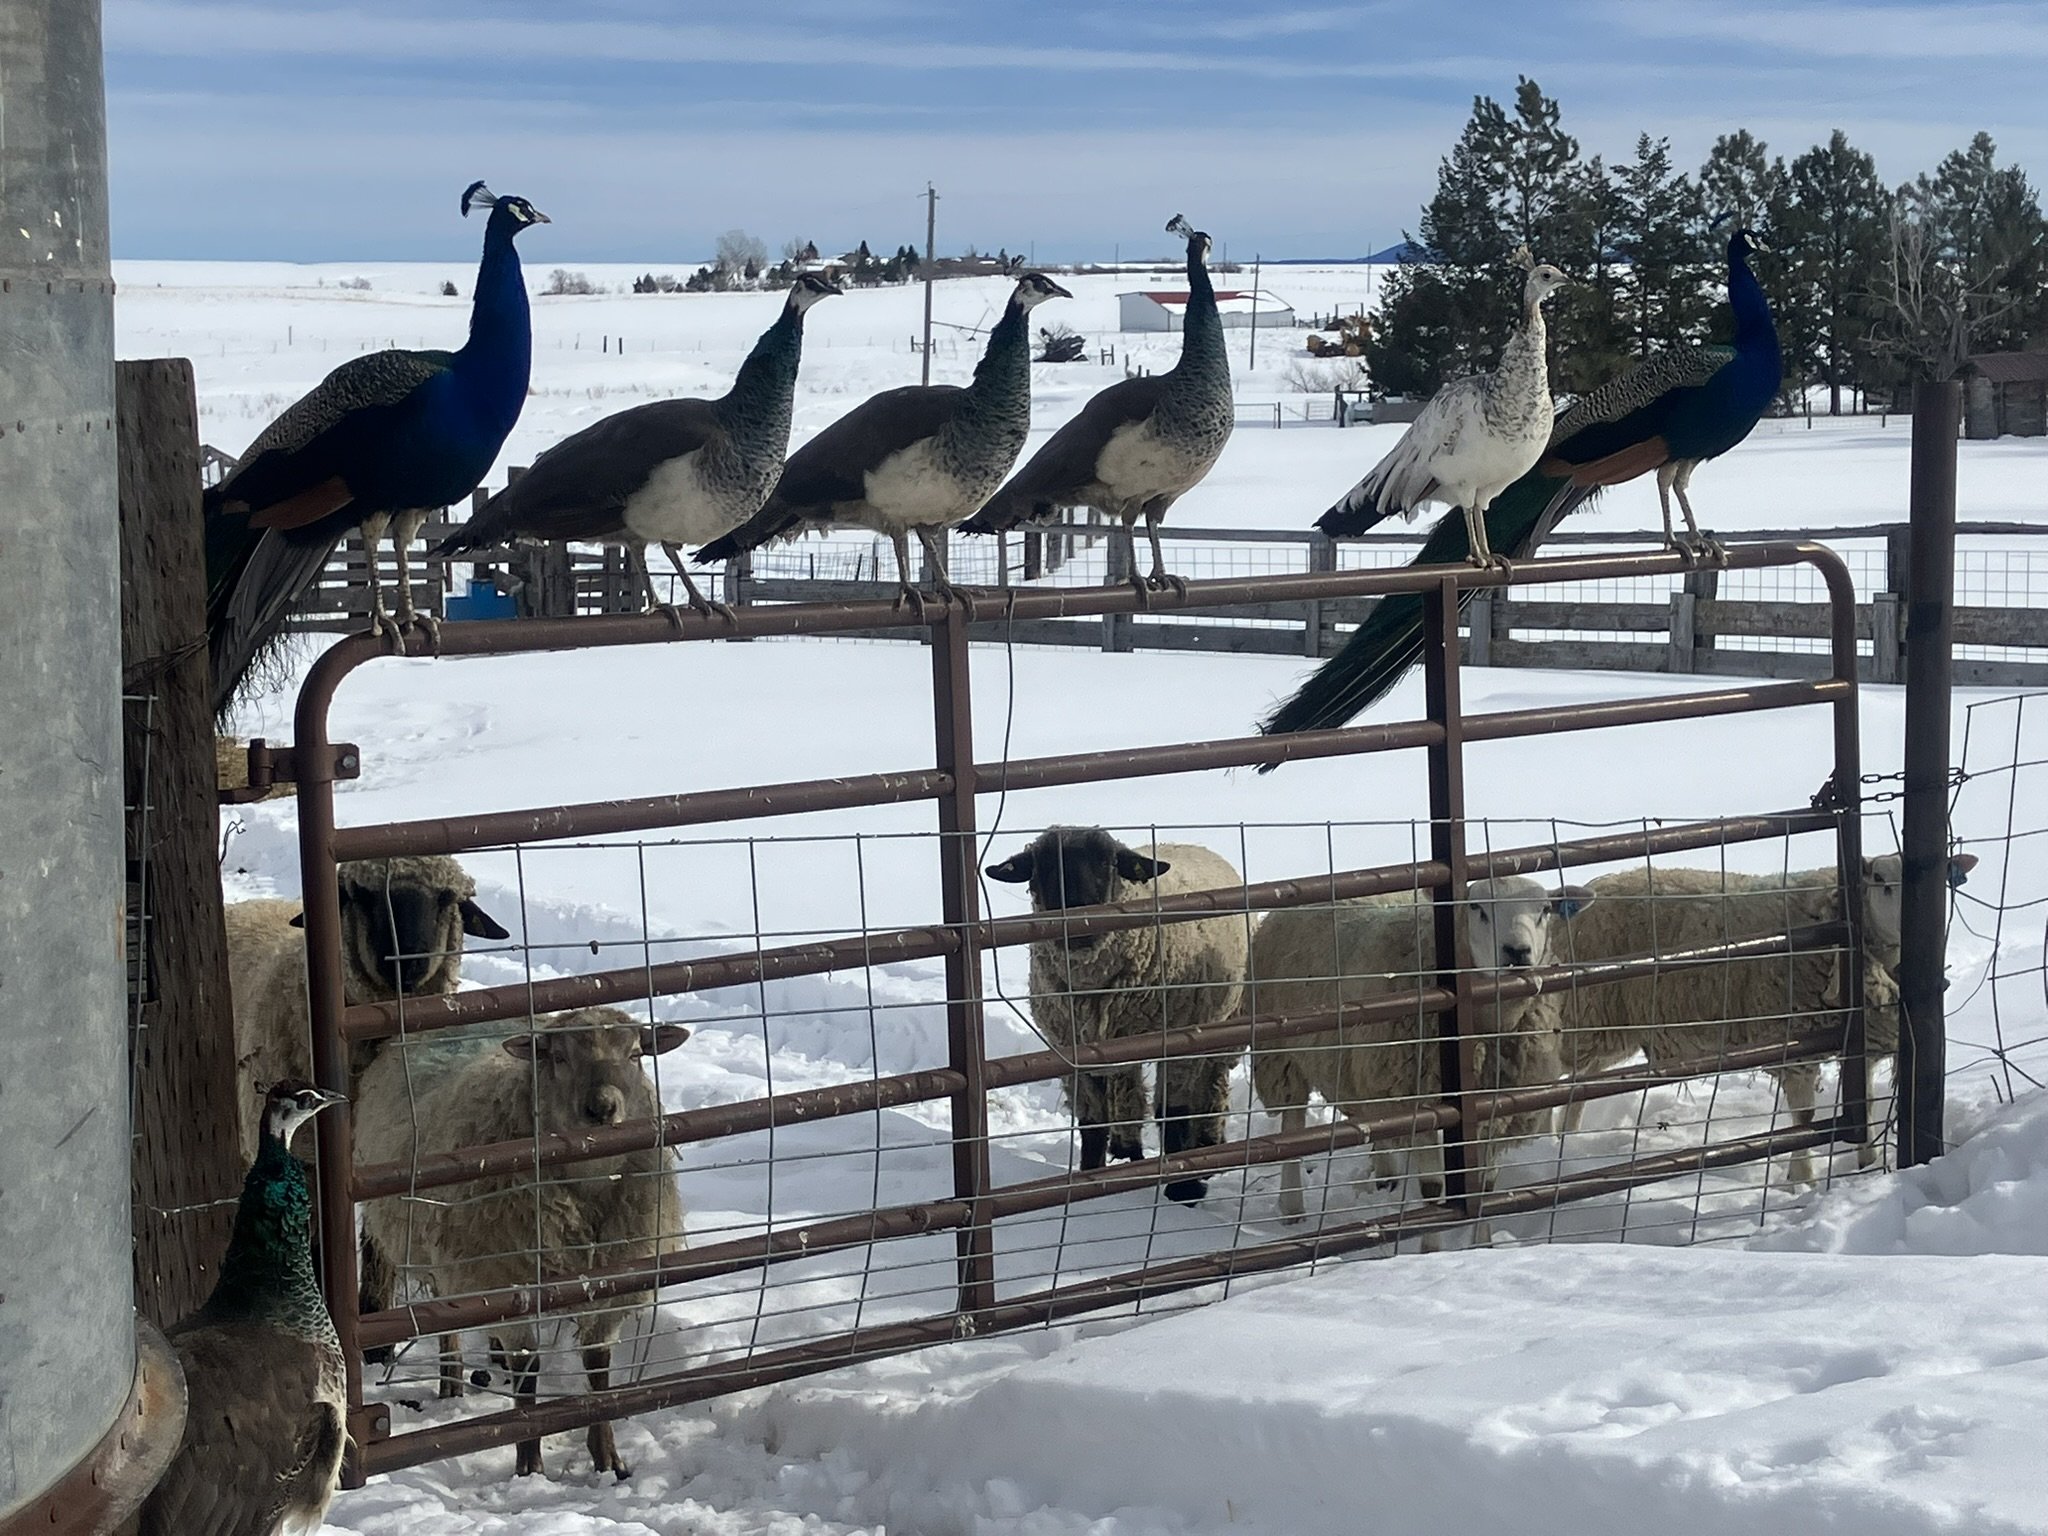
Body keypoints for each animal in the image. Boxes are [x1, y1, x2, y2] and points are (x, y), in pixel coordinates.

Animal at [354, 1006, 690, 1482]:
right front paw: (530, 1464)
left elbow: (599, 1371)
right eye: (558, 1057)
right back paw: (451, 1378)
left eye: (636, 1054)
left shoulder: (612, 1283)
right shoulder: (507, 1279)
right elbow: (528, 1372)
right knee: (447, 1317)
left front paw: (608, 1458)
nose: (602, 1109)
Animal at [986, 827, 1252, 1205]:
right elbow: (1092, 1120)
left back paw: (1207, 1146)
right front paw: (1089, 1180)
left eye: (1107, 863)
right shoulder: (1070, 1048)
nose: (1078, 919)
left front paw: (1183, 1188)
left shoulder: (1179, 1038)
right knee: (1127, 1091)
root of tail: (1191, 843)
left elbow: (1174, 1113)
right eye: (1044, 865)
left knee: (1211, 1083)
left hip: (1223, 1022)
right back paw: (1127, 1149)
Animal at [1246, 877, 1595, 1237]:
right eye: (1476, 907)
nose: (1517, 952)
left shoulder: (1497, 1109)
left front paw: (1483, 1242)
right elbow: (1432, 1191)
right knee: (1292, 1125)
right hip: (1282, 1055)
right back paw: (1292, 1208)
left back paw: (1386, 1174)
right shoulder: (1420, 1104)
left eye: (1545, 910)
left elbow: (1486, 1188)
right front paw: (1432, 1244)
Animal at [1551, 851, 1977, 1182]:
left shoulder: (1859, 1039)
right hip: (1586, 1014)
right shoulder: (1796, 1043)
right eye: (1881, 882)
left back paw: (1566, 1145)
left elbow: (1867, 1101)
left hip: (1608, 1024)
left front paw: (1867, 1161)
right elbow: (1804, 1118)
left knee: (1580, 1086)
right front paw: (1801, 1181)